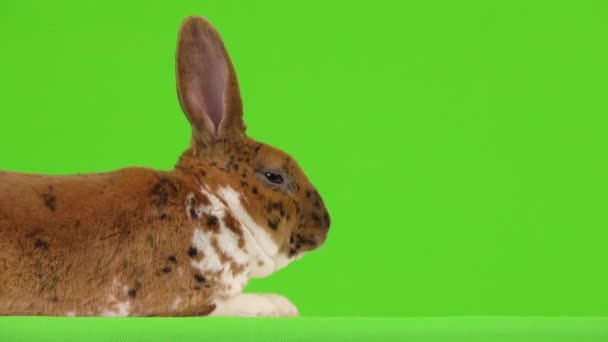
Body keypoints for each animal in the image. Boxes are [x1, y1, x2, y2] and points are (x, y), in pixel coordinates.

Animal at [0, 15, 330, 316]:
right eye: (274, 176)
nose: (325, 225)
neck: (212, 201)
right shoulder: (186, 300)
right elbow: (234, 304)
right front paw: (281, 305)